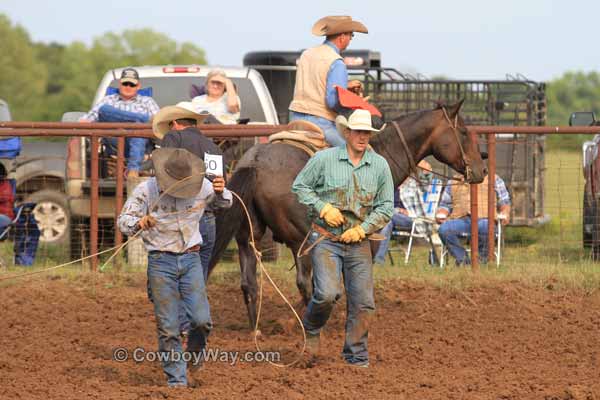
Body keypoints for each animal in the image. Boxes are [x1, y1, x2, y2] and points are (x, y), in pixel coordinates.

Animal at [209, 101, 486, 332]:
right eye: (463, 132)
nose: (481, 169)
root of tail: (254, 162)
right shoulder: (365, 243)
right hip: (302, 240)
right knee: (305, 283)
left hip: (248, 236)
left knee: (250, 282)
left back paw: (258, 327)